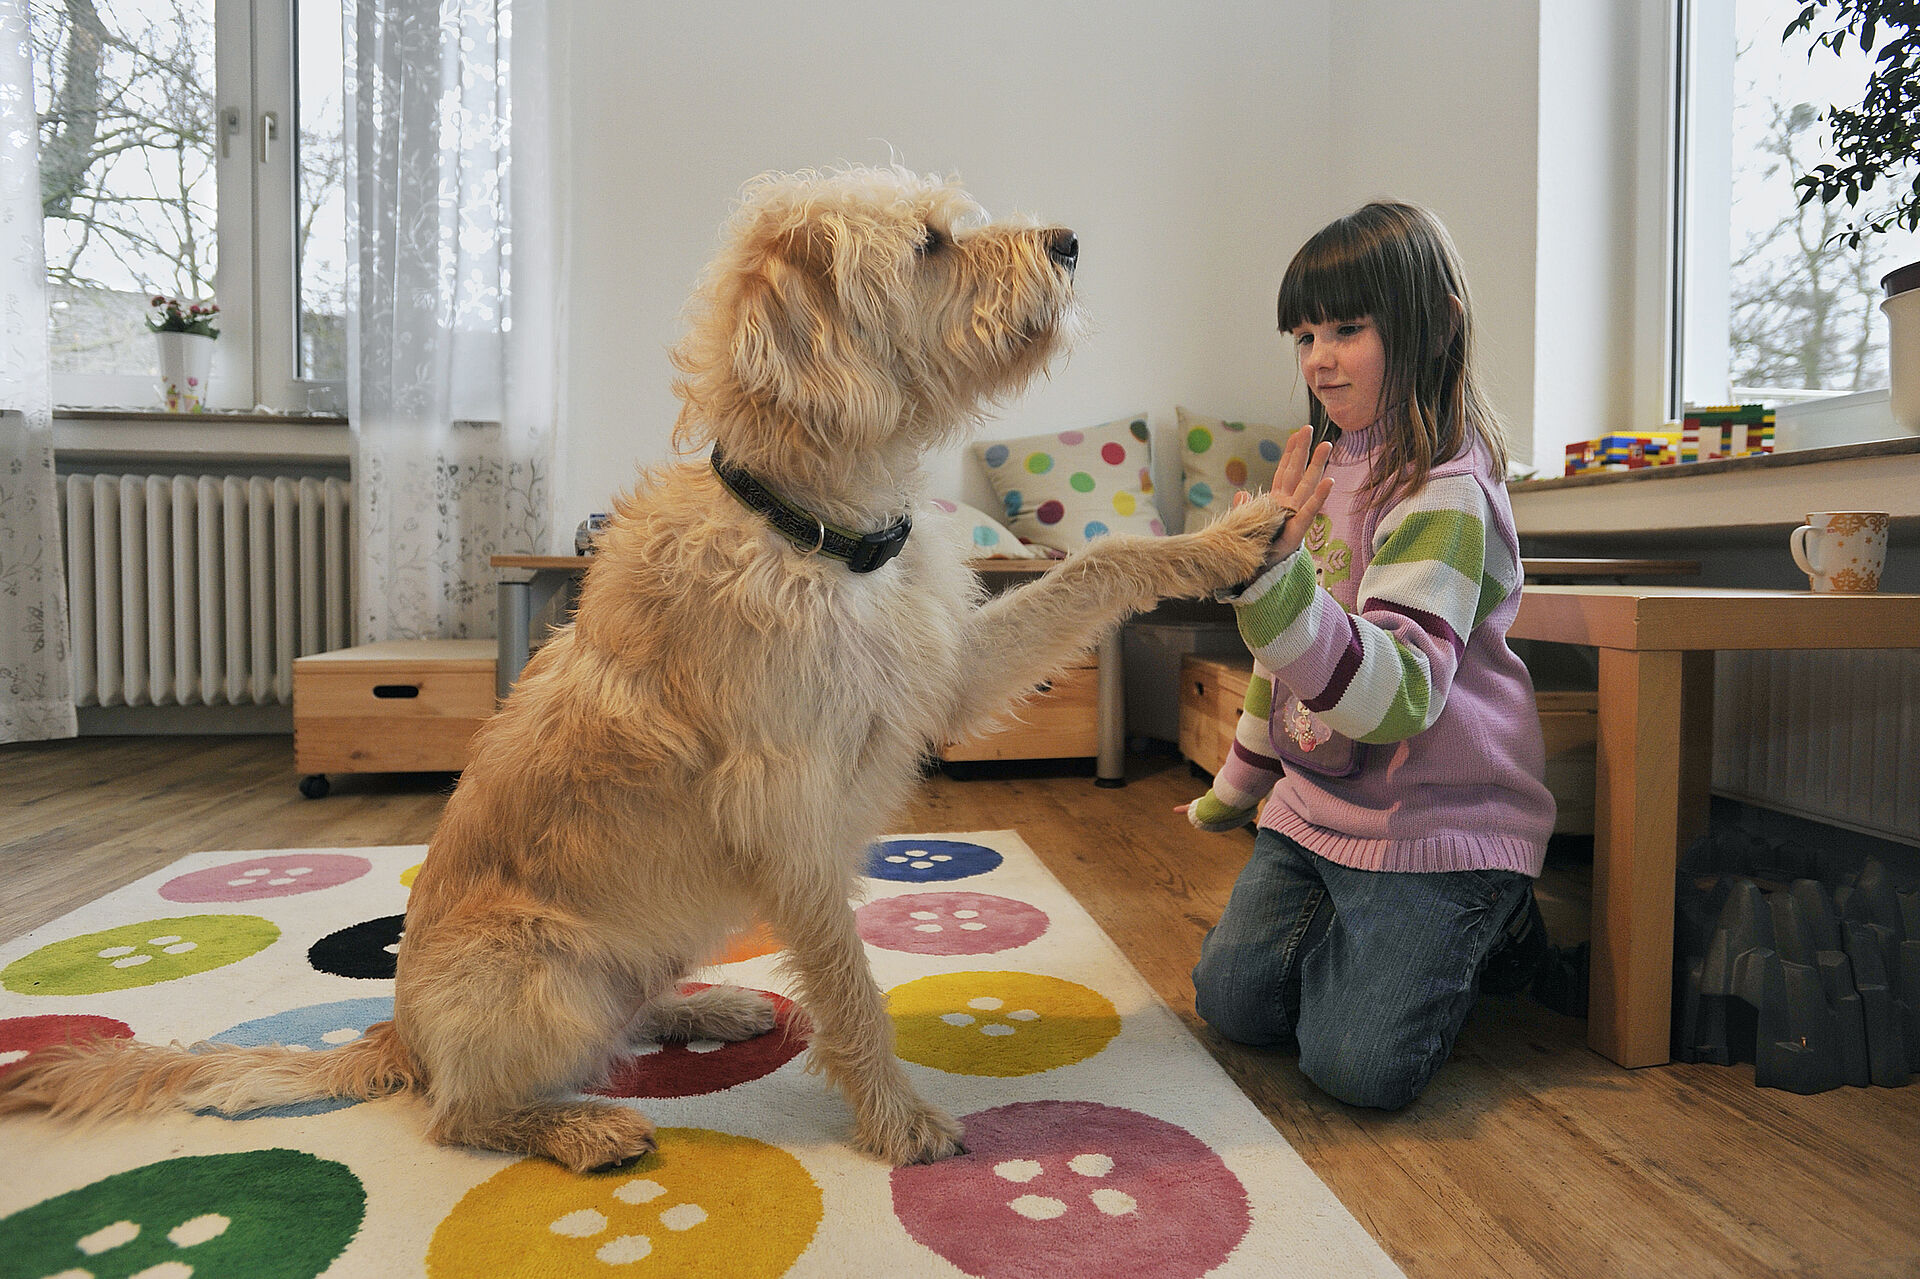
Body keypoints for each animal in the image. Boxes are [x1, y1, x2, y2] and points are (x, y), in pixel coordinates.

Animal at [0, 167, 1305, 1167]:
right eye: (930, 242)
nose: (1072, 242)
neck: (814, 528)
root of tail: (399, 1035)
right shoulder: (787, 811)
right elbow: (850, 982)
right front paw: (897, 1120)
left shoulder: (947, 676)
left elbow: (1097, 567)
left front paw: (1227, 537)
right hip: (541, 977)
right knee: (460, 1113)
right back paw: (580, 1127)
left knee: (624, 1011)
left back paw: (707, 1002)